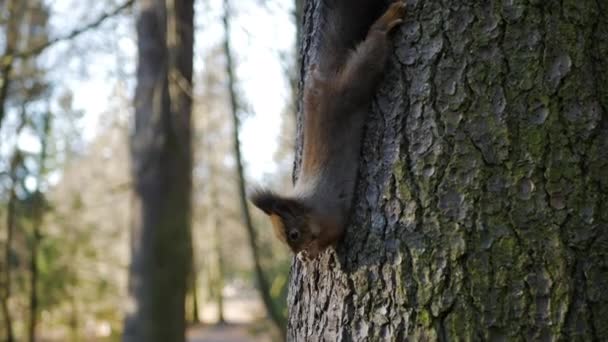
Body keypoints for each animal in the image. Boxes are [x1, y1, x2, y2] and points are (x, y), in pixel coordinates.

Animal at [249, 0, 406, 256]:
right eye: (281, 239)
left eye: (293, 234)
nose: (298, 253)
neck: (310, 209)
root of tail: (324, 75)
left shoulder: (333, 217)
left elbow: (334, 234)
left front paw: (314, 251)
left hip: (355, 83)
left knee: (373, 46)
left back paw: (388, 19)